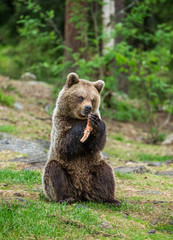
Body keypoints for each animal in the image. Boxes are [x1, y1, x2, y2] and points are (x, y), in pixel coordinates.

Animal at [42, 72, 120, 205]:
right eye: (81, 97)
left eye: (93, 99)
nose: (88, 108)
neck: (76, 117)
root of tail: (82, 190)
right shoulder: (60, 122)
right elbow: (63, 143)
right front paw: (82, 126)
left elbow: (98, 143)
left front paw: (96, 123)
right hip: (65, 172)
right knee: (55, 172)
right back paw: (66, 198)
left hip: (93, 167)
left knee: (105, 173)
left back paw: (110, 199)